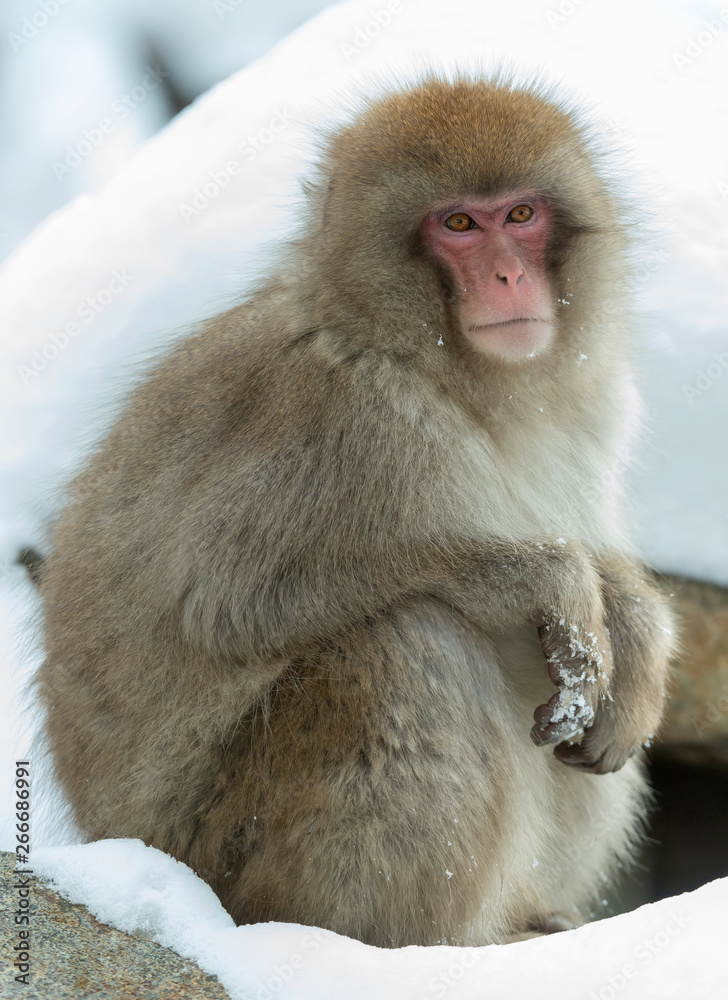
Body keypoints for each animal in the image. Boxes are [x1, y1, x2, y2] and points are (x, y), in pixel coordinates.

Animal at [37, 76, 676, 948]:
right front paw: (536, 577)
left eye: (520, 215)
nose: (509, 278)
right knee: (407, 641)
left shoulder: (595, 407)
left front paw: (639, 630)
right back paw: (410, 944)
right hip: (224, 849)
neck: (457, 379)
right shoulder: (349, 419)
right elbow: (231, 599)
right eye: (457, 225)